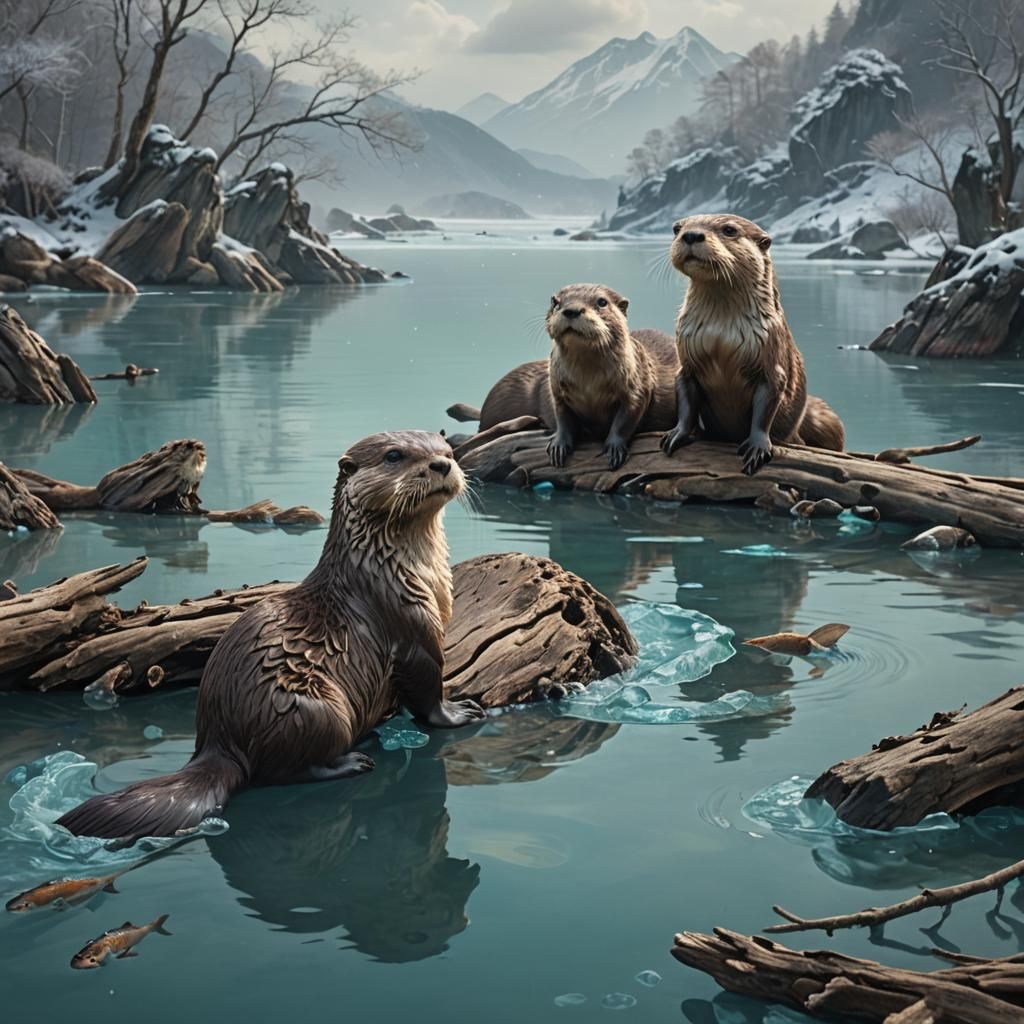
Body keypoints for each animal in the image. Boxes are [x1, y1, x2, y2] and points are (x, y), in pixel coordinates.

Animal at [57, 431, 485, 841]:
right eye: (395, 455)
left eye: (447, 449)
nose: (442, 464)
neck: (390, 570)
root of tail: (219, 742)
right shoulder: (409, 628)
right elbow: (428, 691)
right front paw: (459, 712)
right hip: (314, 710)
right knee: (285, 770)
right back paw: (350, 763)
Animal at [469, 284, 677, 469]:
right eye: (555, 301)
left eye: (602, 302)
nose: (571, 310)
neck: (589, 383)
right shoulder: (557, 390)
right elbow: (563, 417)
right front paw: (559, 444)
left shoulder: (637, 384)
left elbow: (626, 417)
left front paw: (614, 447)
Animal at [660, 214, 844, 474]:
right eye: (677, 228)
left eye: (729, 230)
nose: (691, 235)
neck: (721, 335)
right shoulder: (687, 362)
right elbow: (686, 400)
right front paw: (679, 433)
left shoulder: (769, 357)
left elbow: (764, 409)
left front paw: (758, 446)